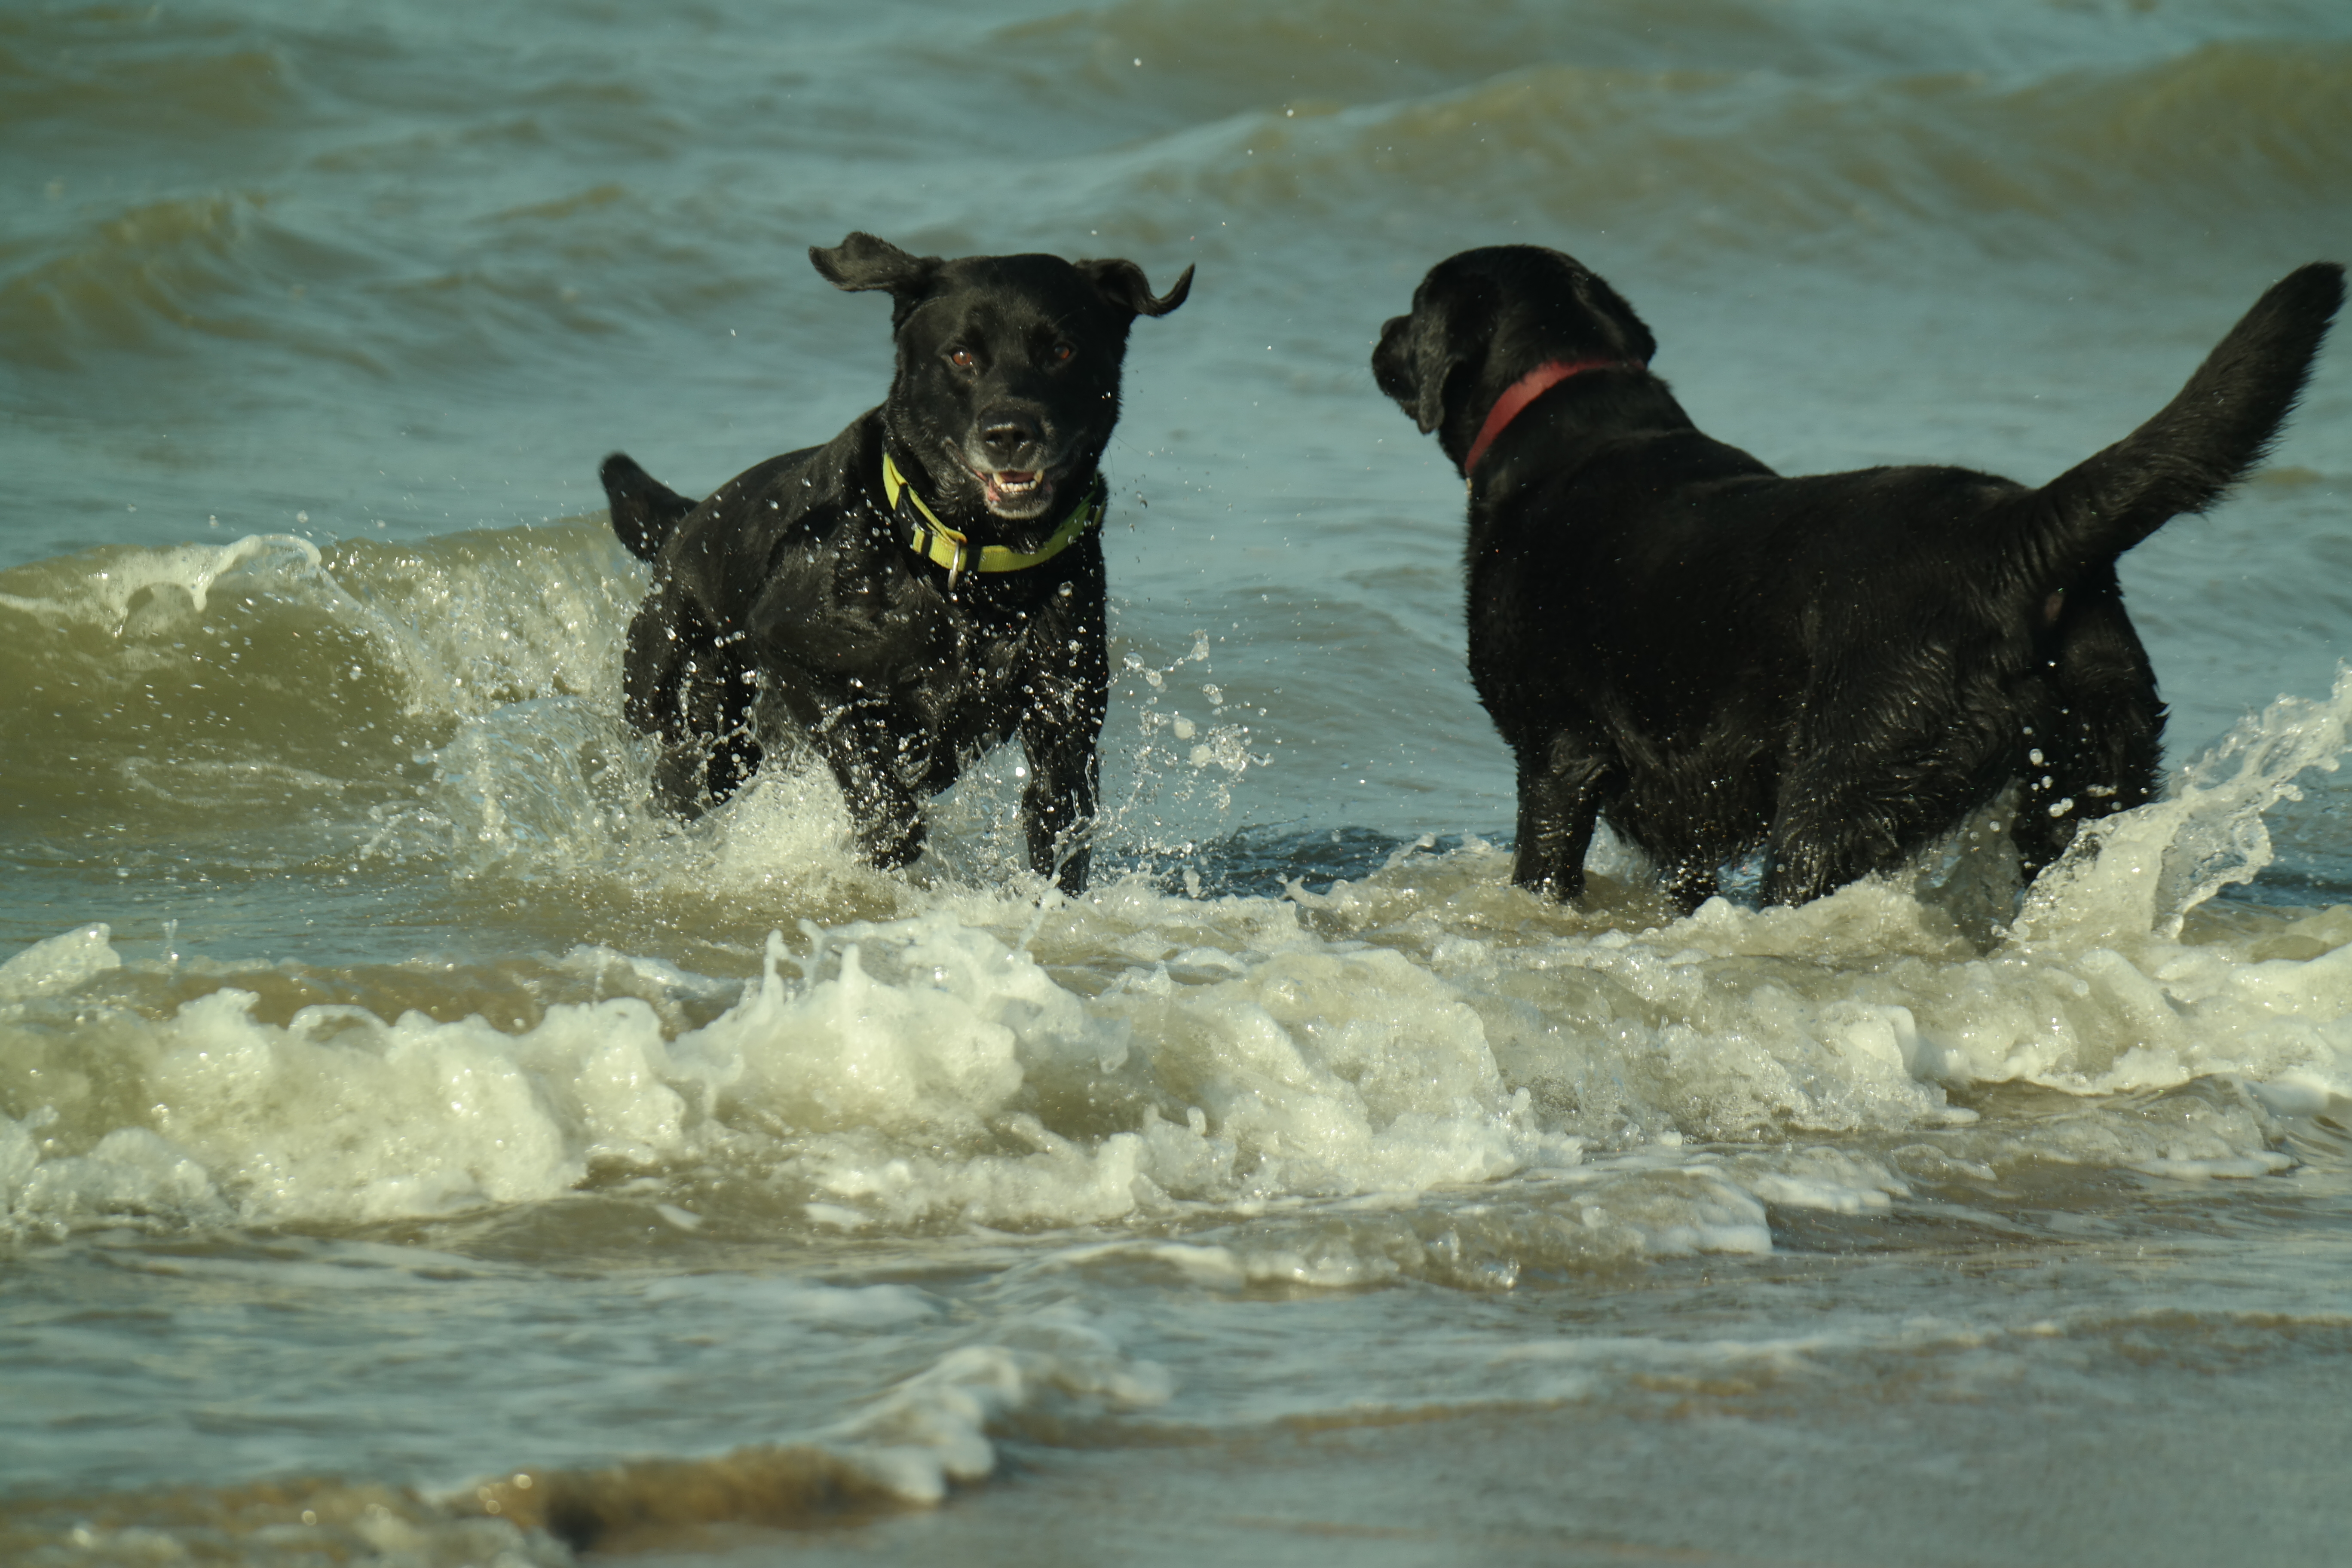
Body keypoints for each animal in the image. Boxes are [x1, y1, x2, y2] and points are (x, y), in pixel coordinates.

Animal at [606, 233, 1194, 893]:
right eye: (961, 355)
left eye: (1062, 351)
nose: (1010, 432)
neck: (970, 574)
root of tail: (688, 523)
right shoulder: (791, 653)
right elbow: (877, 785)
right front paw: (885, 848)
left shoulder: (1064, 714)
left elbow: (1062, 836)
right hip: (686, 713)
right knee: (678, 777)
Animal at [1373, 243, 2343, 907]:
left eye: (1416, 304)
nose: (1381, 332)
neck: (1565, 416)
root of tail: (2018, 530)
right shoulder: (1686, 816)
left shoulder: (1556, 756)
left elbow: (1543, 867)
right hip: (2094, 764)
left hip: (1844, 784)